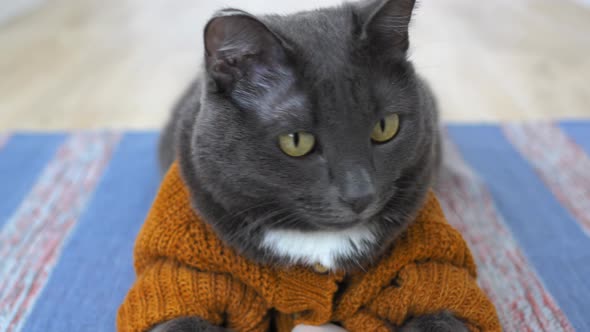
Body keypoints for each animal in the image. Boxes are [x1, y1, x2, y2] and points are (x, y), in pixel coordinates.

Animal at [156, 0, 468, 332]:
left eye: (386, 127)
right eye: (296, 141)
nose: (361, 195)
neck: (317, 242)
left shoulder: (428, 260)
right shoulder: (183, 268)